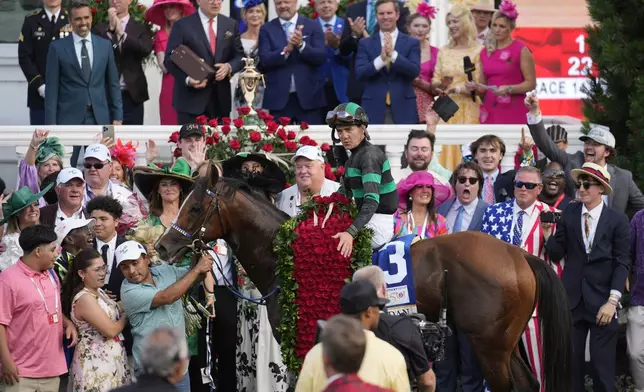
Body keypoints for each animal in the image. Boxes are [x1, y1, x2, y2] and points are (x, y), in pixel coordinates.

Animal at [157, 167, 572, 390]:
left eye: (195, 207)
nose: (163, 246)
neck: (286, 256)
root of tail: (518, 255)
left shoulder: (305, 342)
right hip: (506, 342)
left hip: (489, 345)